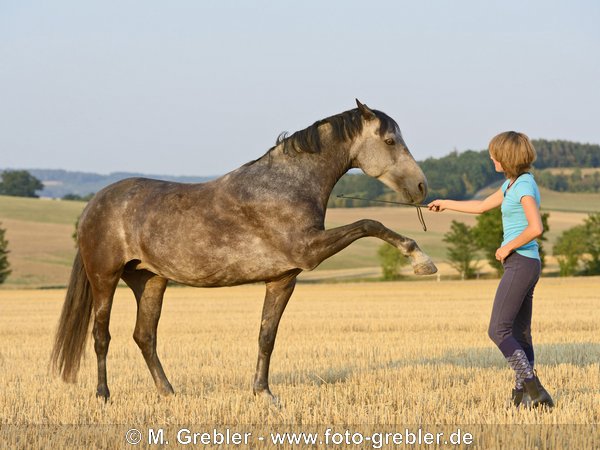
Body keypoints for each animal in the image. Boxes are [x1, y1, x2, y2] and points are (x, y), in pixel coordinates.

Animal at [51, 101, 436, 400]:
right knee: (101, 336)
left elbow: (266, 336)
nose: (421, 186)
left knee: (144, 336)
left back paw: (168, 392)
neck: (285, 185)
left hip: (150, 280)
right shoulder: (309, 251)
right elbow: (370, 223)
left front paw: (263, 393)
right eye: (389, 140)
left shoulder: (283, 279)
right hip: (104, 278)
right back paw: (103, 395)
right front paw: (421, 260)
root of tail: (93, 205)